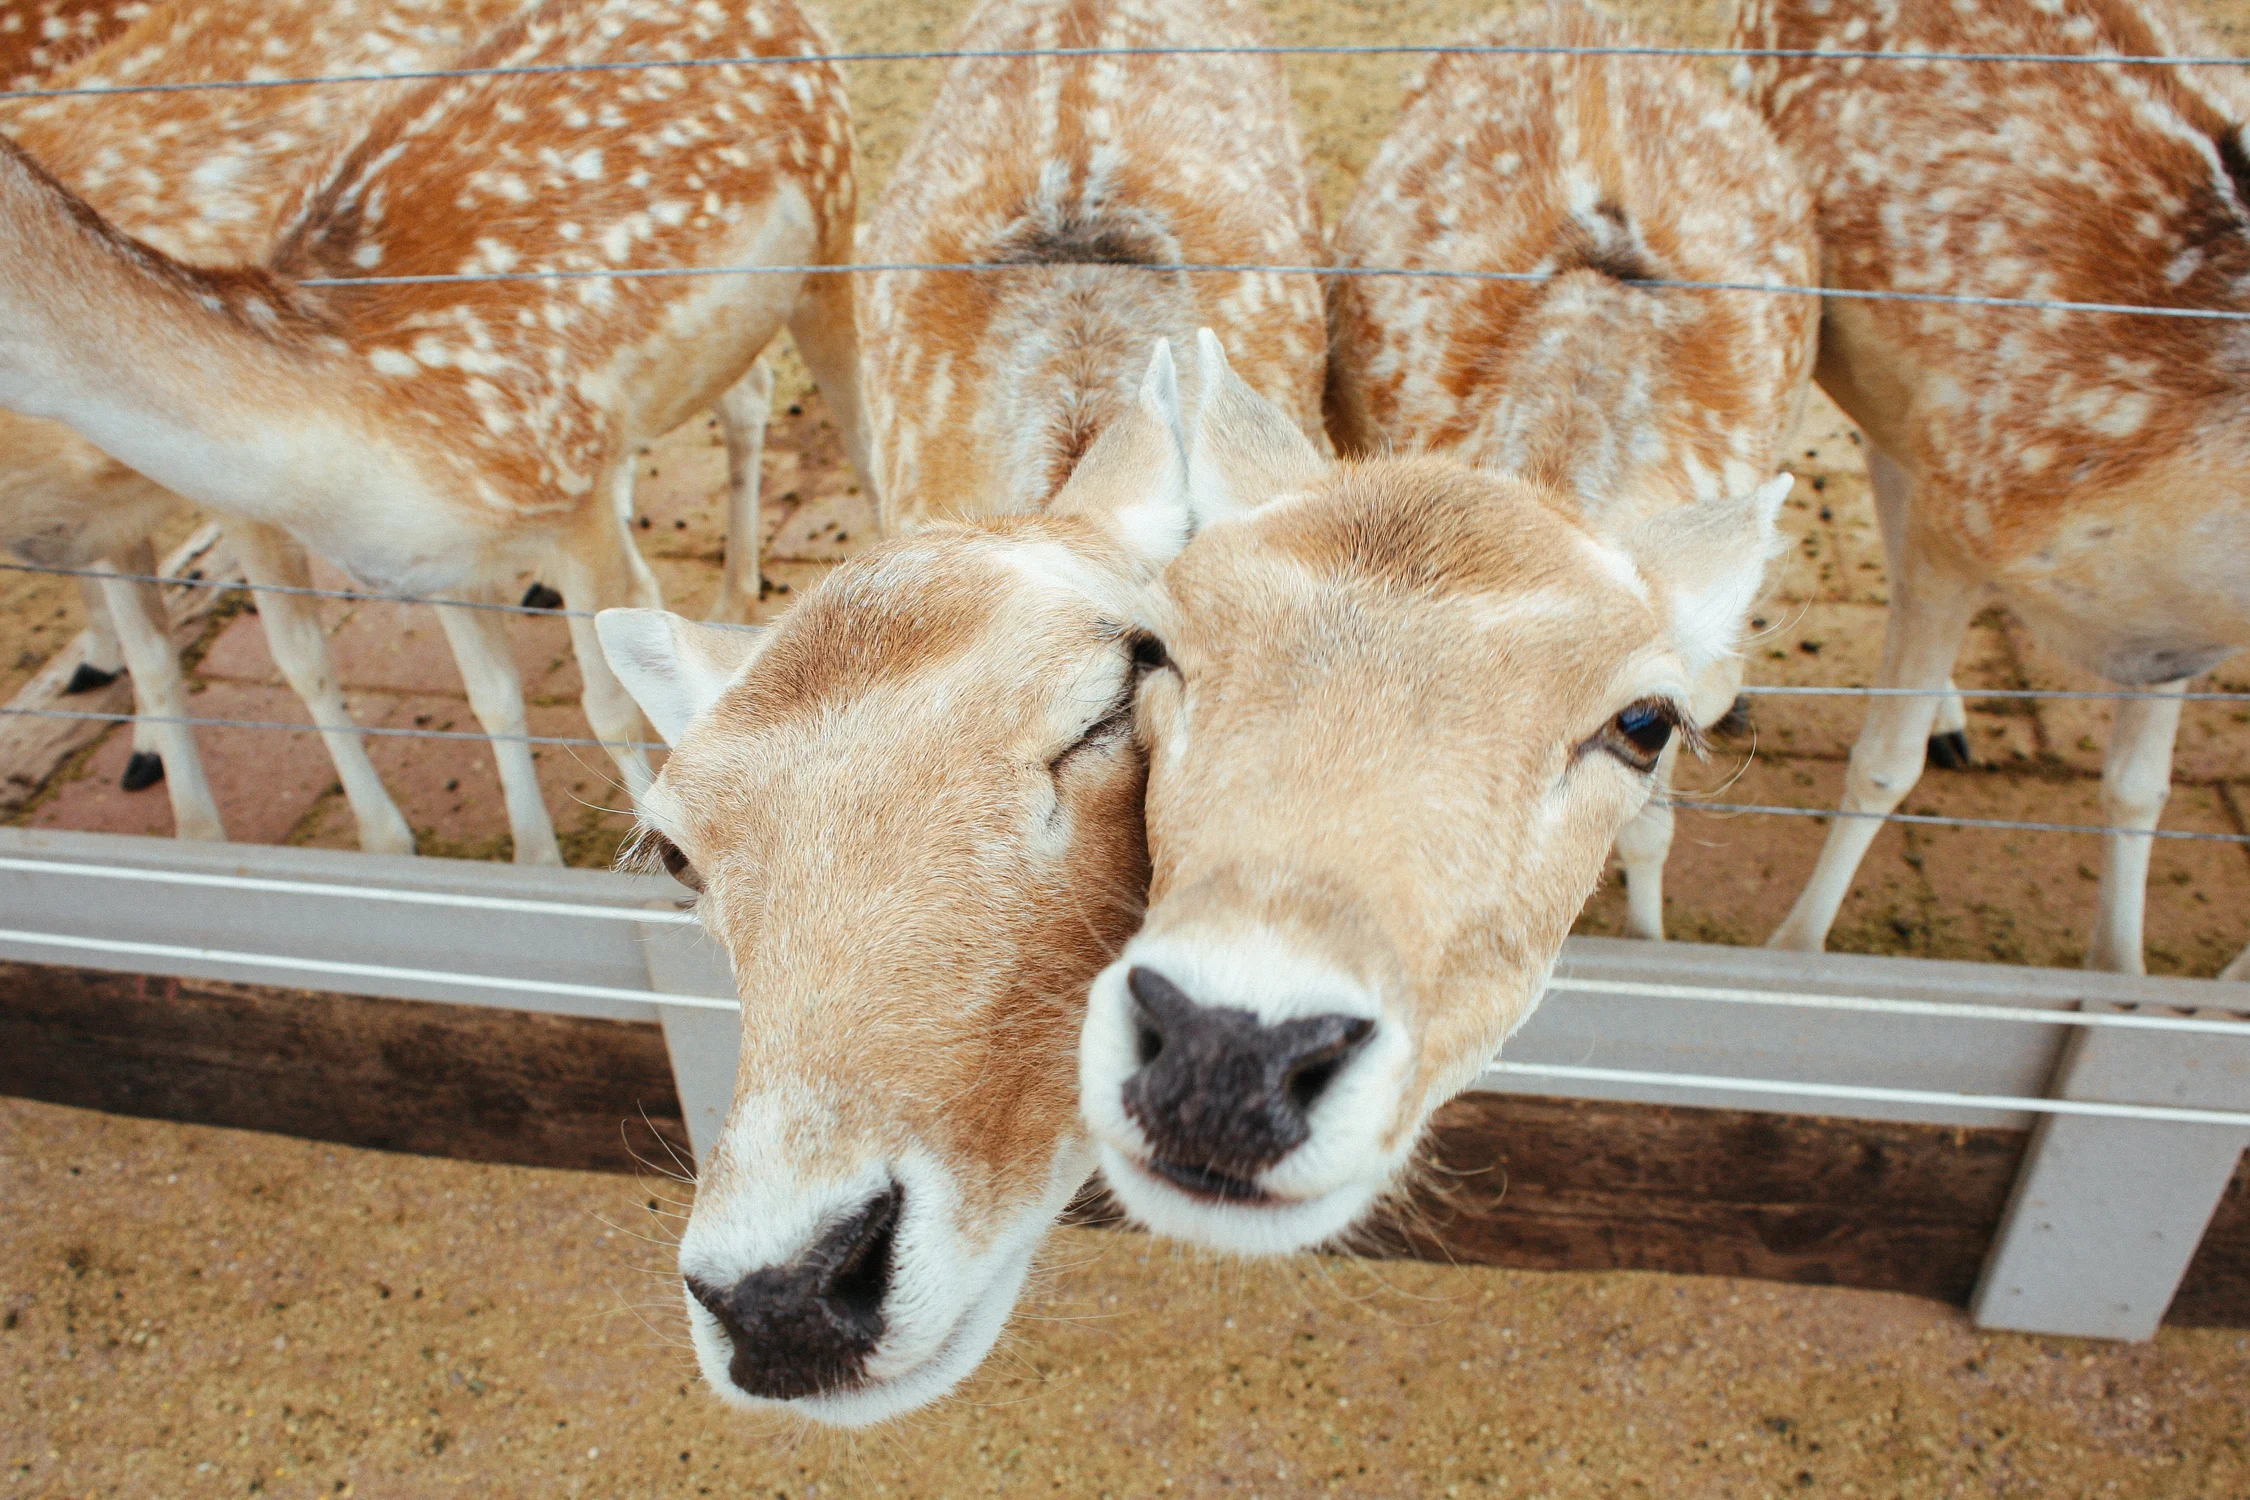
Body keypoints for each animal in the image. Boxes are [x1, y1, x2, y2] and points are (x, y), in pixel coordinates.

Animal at [1733, 0, 2250, 977]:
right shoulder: (1969, 514)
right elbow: (1882, 764)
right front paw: (1792, 952)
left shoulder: (2169, 641)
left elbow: (2139, 789)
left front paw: (2118, 973)